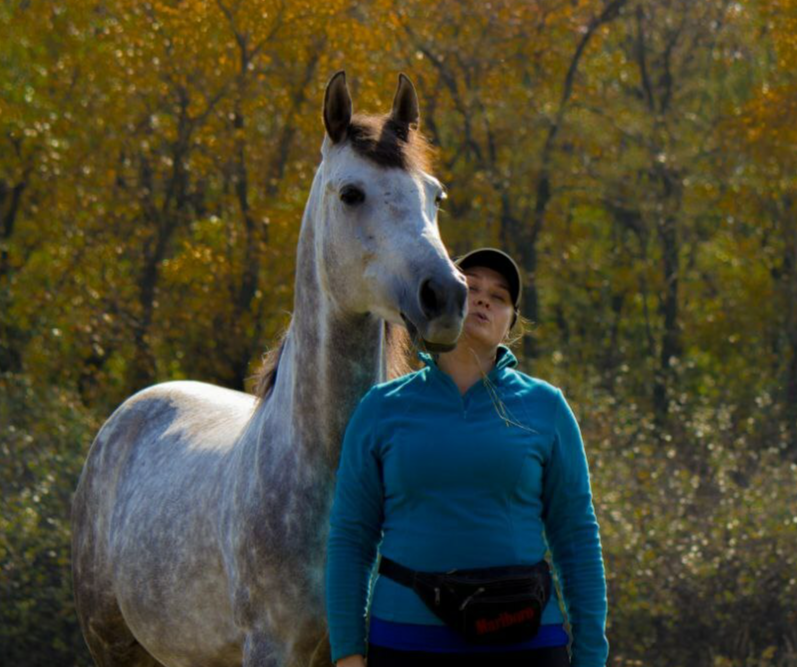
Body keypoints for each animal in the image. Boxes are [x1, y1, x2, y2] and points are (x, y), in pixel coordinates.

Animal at [71, 73, 470, 667]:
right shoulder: (271, 646)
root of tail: (128, 414)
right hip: (112, 644)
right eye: (351, 193)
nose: (445, 296)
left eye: (434, 194)